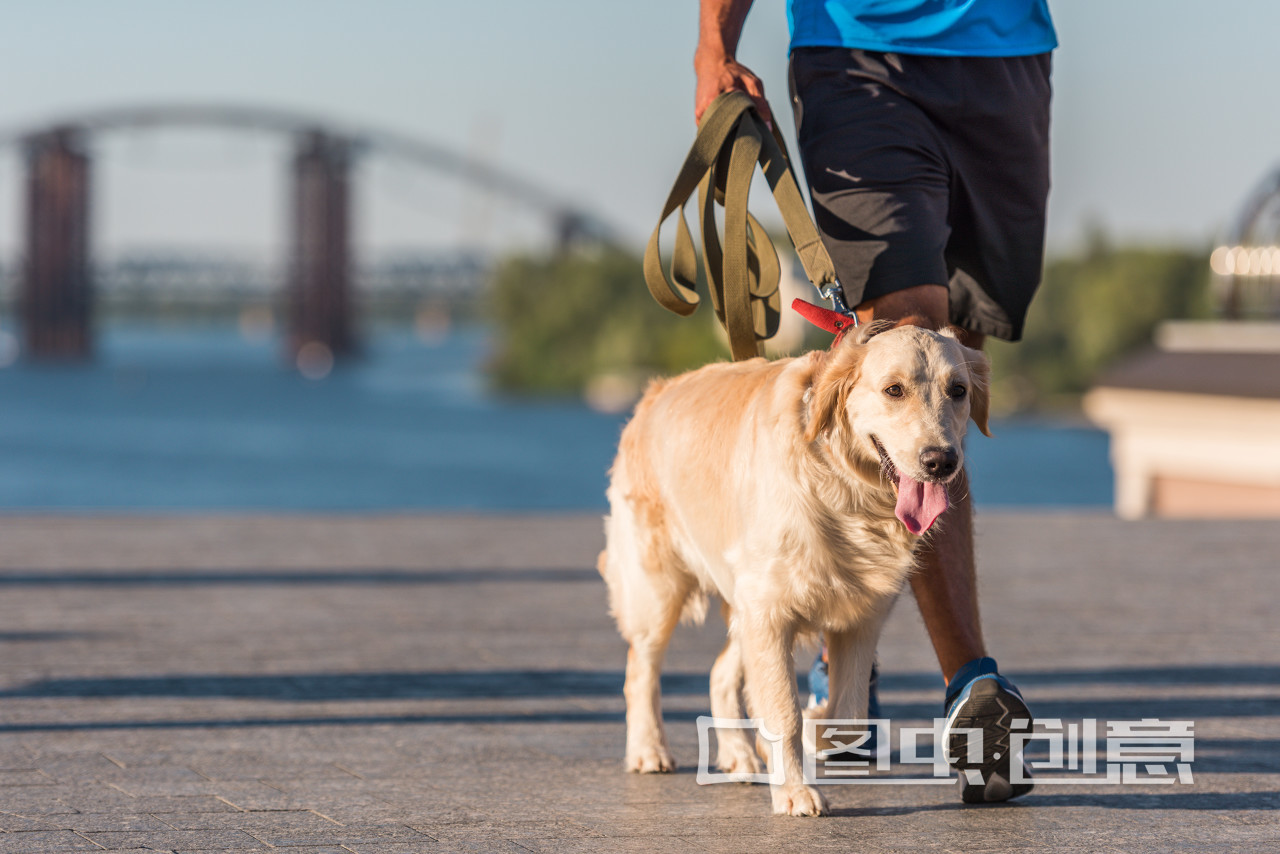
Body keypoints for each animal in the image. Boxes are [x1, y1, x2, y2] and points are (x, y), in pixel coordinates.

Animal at [599, 320, 988, 814]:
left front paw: (812, 733)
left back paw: (739, 755)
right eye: (893, 390)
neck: (848, 491)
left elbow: (848, 716)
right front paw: (796, 791)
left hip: (741, 601)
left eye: (958, 390)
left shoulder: (859, 618)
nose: (940, 461)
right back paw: (649, 749)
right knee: (641, 670)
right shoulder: (768, 610)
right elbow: (783, 710)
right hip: (659, 588)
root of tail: (654, 392)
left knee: (720, 673)